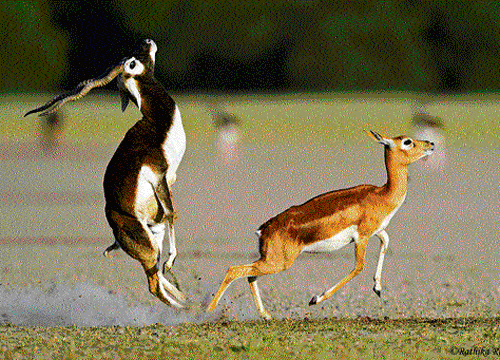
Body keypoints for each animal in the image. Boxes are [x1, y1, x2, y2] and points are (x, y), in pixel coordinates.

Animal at [23, 39, 188, 310]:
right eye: (133, 60)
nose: (148, 41)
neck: (158, 125)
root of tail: (115, 226)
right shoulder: (160, 176)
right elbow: (172, 214)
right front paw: (172, 260)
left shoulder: (169, 183)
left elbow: (168, 217)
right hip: (148, 245)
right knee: (153, 285)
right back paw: (188, 309)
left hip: (152, 235)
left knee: (157, 274)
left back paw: (184, 297)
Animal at [207, 131, 434, 320]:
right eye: (407, 142)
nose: (431, 144)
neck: (382, 195)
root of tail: (264, 229)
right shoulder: (361, 237)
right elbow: (359, 267)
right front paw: (315, 299)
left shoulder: (376, 232)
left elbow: (386, 241)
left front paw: (377, 288)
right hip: (278, 263)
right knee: (234, 270)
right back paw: (207, 312)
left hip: (270, 261)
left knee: (249, 274)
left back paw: (266, 315)